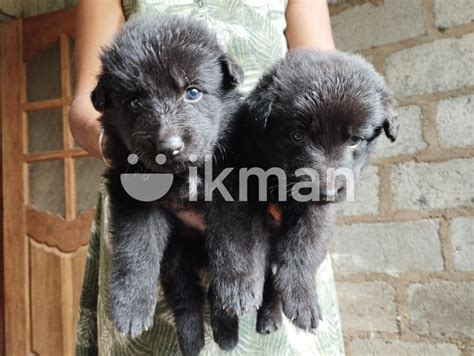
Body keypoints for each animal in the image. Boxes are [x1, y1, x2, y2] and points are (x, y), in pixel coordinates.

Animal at [90, 15, 244, 352]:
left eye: (193, 92)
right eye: (135, 102)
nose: (169, 147)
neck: (182, 175)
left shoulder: (235, 180)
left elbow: (232, 236)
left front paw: (237, 286)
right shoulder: (131, 194)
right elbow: (137, 245)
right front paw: (130, 308)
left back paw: (226, 329)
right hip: (176, 256)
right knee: (185, 295)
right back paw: (193, 341)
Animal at [231, 50, 398, 334]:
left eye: (355, 140)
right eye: (297, 135)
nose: (327, 189)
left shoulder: (316, 212)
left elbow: (303, 248)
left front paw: (301, 296)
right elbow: (240, 238)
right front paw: (239, 285)